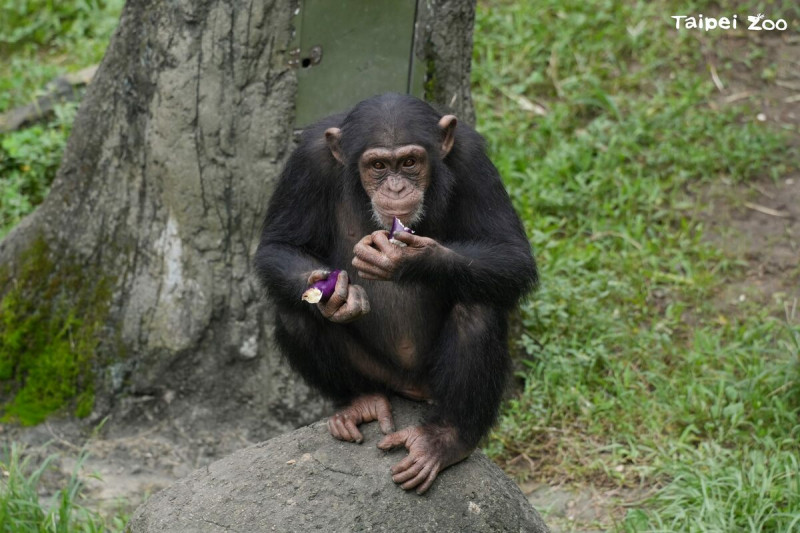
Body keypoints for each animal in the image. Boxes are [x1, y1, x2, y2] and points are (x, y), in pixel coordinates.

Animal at [256, 90, 536, 490]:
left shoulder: (473, 160)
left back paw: (444, 439)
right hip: (380, 374)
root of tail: (411, 389)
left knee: (477, 309)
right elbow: (279, 244)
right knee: (295, 313)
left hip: (432, 383)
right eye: (377, 165)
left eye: (408, 162)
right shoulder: (307, 161)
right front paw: (338, 295)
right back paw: (360, 401)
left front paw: (410, 259)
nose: (396, 187)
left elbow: (512, 254)